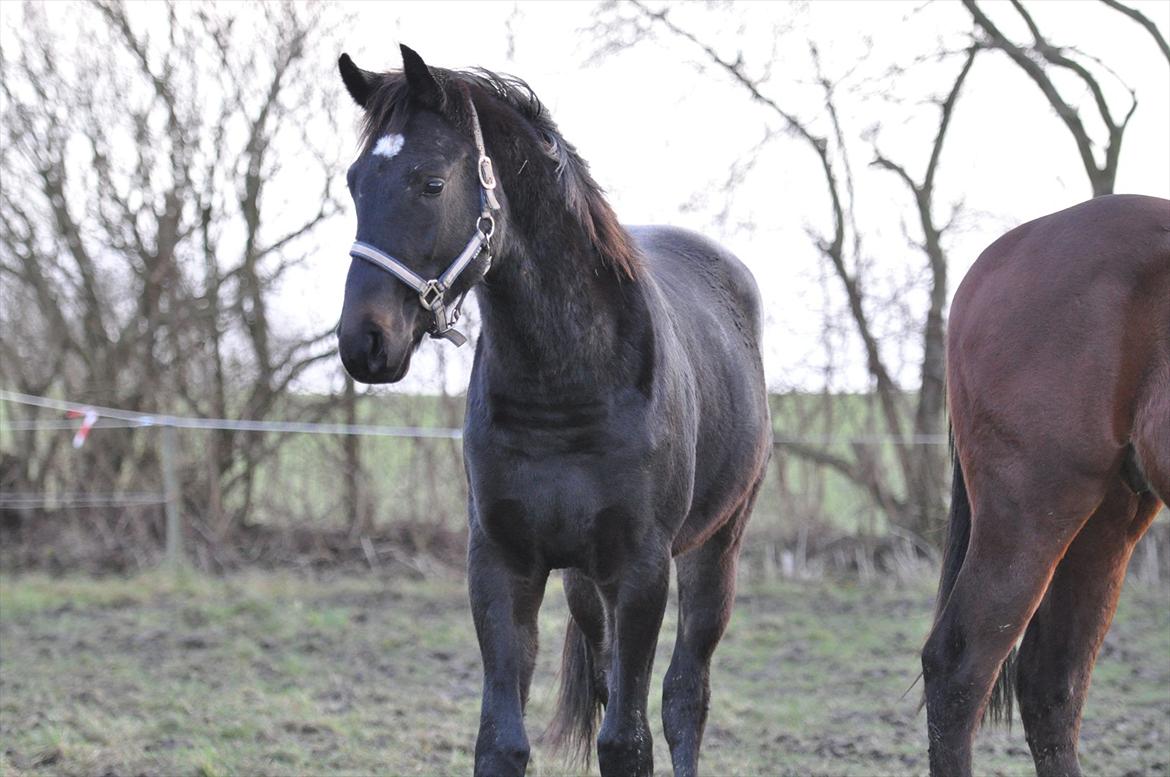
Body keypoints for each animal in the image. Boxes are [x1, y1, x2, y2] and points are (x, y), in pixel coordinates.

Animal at [334, 48, 772, 777]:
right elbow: (503, 741)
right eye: (355, 182)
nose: (364, 341)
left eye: (430, 183)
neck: (567, 388)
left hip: (716, 548)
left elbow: (628, 741)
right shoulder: (502, 562)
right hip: (584, 582)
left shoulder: (643, 568)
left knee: (685, 696)